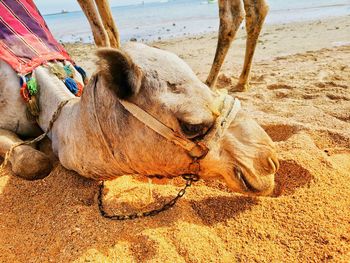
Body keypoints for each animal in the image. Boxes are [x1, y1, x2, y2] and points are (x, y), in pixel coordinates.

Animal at [76, 0, 268, 92]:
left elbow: (100, 31)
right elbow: (111, 28)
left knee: (232, 14)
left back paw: (211, 84)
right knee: (255, 10)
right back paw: (240, 82)